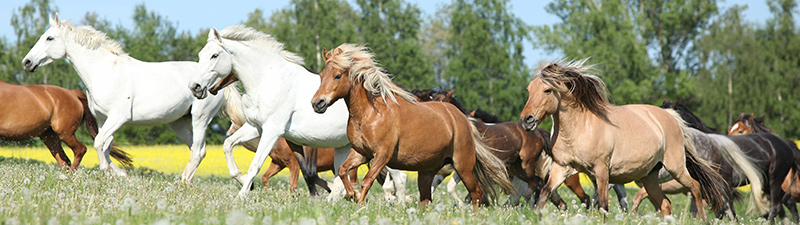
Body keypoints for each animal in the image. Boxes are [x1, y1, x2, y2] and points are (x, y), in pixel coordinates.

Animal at [23, 14, 223, 183]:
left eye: (49, 38)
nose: (27, 62)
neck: (104, 71)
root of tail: (216, 81)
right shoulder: (103, 120)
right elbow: (105, 146)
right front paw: (121, 174)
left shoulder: (118, 117)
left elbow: (99, 143)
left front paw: (109, 171)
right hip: (179, 122)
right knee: (194, 149)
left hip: (200, 118)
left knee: (198, 151)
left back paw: (183, 183)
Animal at [188, 25, 406, 199]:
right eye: (199, 55)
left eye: (214, 55)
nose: (195, 87)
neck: (268, 79)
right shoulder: (255, 127)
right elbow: (228, 145)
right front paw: (241, 180)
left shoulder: (272, 131)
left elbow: (255, 165)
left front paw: (242, 195)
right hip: (346, 147)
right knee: (341, 180)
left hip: (381, 151)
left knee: (398, 176)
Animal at [310, 44, 510, 211]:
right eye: (321, 76)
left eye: (337, 75)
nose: (317, 103)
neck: (370, 114)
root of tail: (463, 119)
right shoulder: (361, 153)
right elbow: (343, 170)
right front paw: (352, 194)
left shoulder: (382, 155)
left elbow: (368, 181)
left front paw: (359, 205)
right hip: (427, 171)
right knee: (426, 199)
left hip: (462, 166)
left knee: (476, 192)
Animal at [516, 58, 728, 220]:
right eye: (529, 90)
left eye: (547, 90)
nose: (526, 119)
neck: (580, 129)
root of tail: (670, 116)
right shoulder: (562, 167)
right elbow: (544, 194)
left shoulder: (602, 171)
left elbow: (602, 205)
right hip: (650, 177)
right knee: (665, 204)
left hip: (676, 167)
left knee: (696, 187)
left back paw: (703, 219)